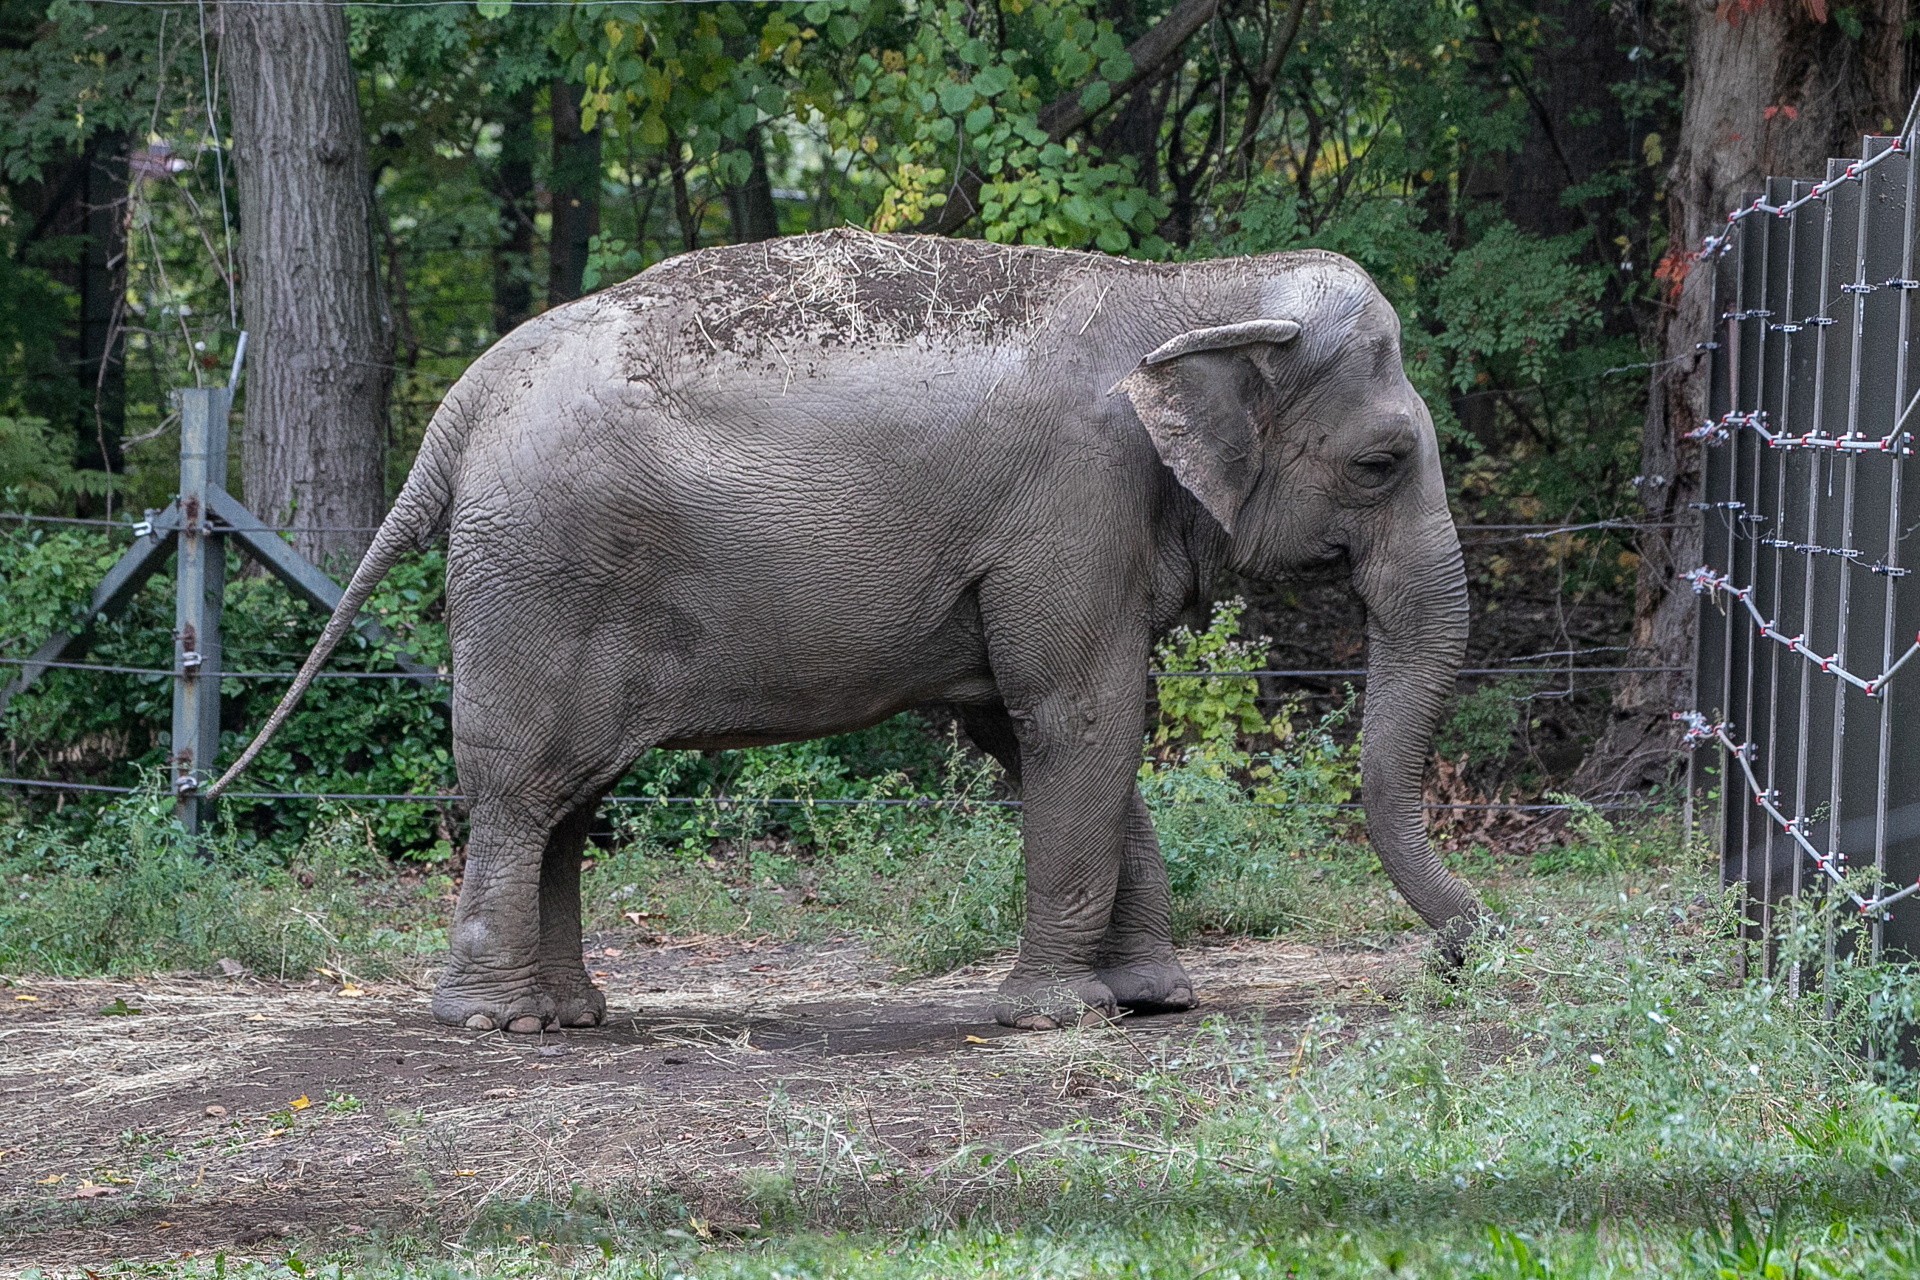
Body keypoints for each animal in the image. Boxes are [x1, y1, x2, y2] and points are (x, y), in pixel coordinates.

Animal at [212, 228, 1480, 1034]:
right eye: (1381, 463)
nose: (1463, 952)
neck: (1189, 291)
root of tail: (466, 399)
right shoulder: (1071, 507)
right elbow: (1082, 713)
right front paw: (1061, 1015)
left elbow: (1042, 729)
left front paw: (1154, 997)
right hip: (538, 578)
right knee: (524, 789)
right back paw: (496, 1022)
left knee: (568, 798)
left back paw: (567, 1013)